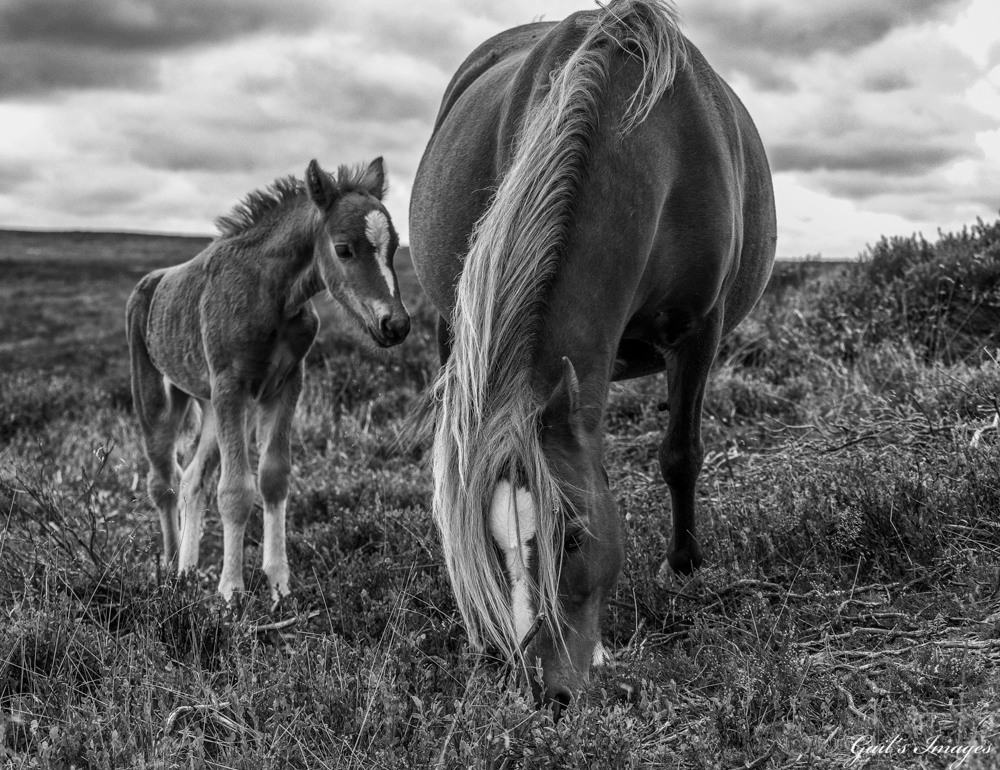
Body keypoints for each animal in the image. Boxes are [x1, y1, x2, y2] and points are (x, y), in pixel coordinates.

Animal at [129, 159, 410, 604]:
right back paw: (170, 572)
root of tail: (151, 281)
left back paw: (187, 573)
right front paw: (231, 592)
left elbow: (273, 478)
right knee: (164, 481)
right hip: (159, 397)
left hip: (210, 405)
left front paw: (279, 585)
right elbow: (235, 491)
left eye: (395, 246)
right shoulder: (232, 386)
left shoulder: (285, 384)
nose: (395, 325)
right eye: (344, 248)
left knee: (192, 479)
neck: (272, 295)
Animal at [410, 1, 776, 708]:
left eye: (574, 536)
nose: (546, 691)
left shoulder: (701, 330)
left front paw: (685, 566)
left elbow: (680, 454)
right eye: (494, 548)